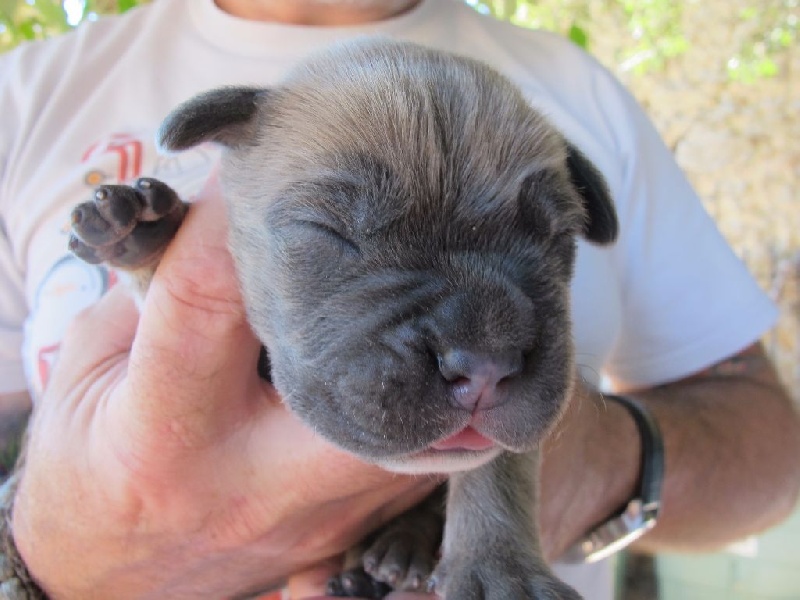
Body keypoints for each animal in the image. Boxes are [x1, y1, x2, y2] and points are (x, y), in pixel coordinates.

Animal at [69, 38, 620, 600]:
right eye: (328, 231)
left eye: (558, 240)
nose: (487, 366)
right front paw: (144, 234)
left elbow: (499, 467)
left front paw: (499, 566)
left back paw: (399, 550)